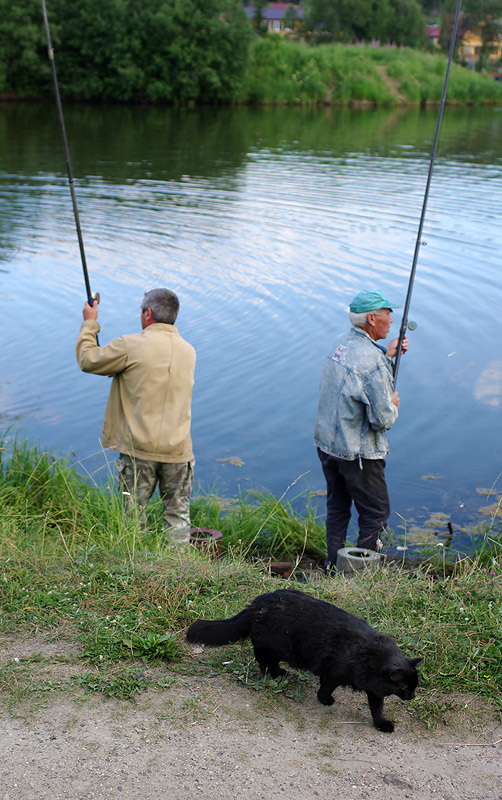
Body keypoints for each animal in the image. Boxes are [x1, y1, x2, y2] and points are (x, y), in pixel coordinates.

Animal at [186, 588, 422, 732]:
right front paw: (326, 701)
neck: (370, 654)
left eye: (414, 687)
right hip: (272, 646)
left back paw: (280, 673)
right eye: (404, 688)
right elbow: (325, 689)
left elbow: (377, 708)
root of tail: (256, 604)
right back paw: (271, 675)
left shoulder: (374, 689)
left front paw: (381, 724)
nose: (411, 697)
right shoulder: (332, 673)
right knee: (262, 660)